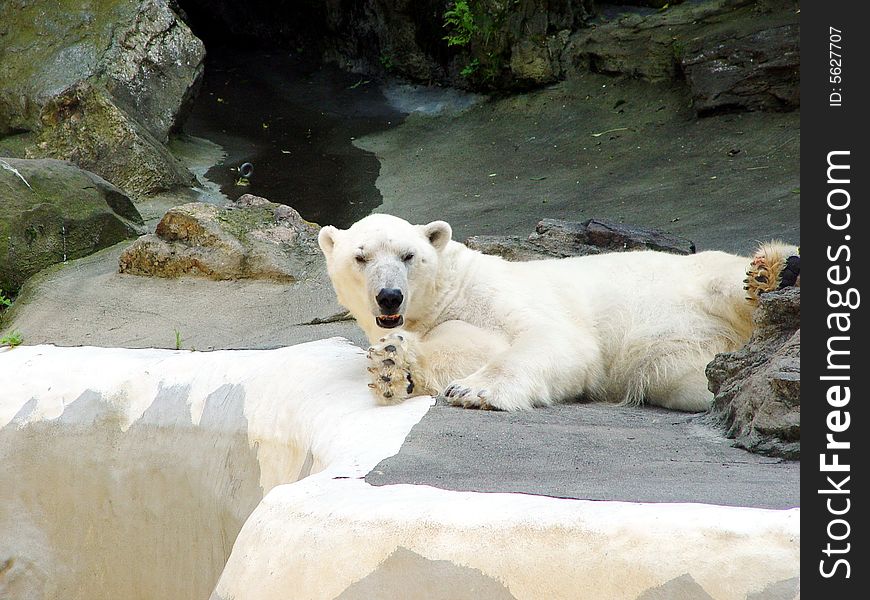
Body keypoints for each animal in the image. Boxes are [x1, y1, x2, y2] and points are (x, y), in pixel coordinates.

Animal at [318, 214, 796, 412]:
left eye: (408, 255)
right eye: (361, 256)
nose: (390, 297)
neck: (448, 291)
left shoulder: (500, 293)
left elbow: (555, 339)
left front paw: (475, 391)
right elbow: (465, 346)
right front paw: (392, 366)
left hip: (700, 282)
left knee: (731, 283)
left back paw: (772, 273)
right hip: (686, 359)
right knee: (682, 378)